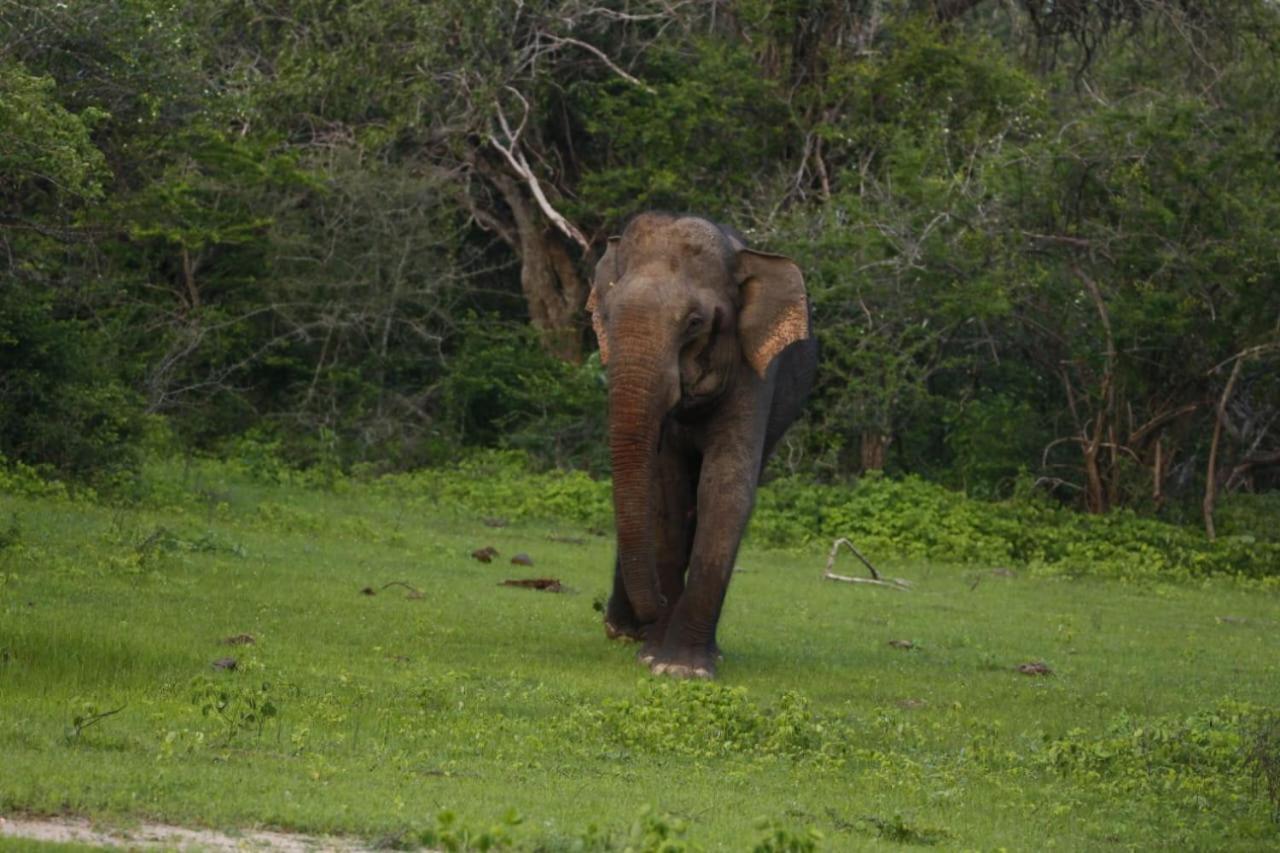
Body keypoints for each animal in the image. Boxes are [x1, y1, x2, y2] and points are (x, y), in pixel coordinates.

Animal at [586, 212, 814, 676]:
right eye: (608, 316)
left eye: (694, 322)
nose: (656, 603)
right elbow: (667, 498)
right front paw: (654, 654)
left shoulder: (755, 375)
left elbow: (725, 488)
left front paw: (682, 668)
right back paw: (625, 631)